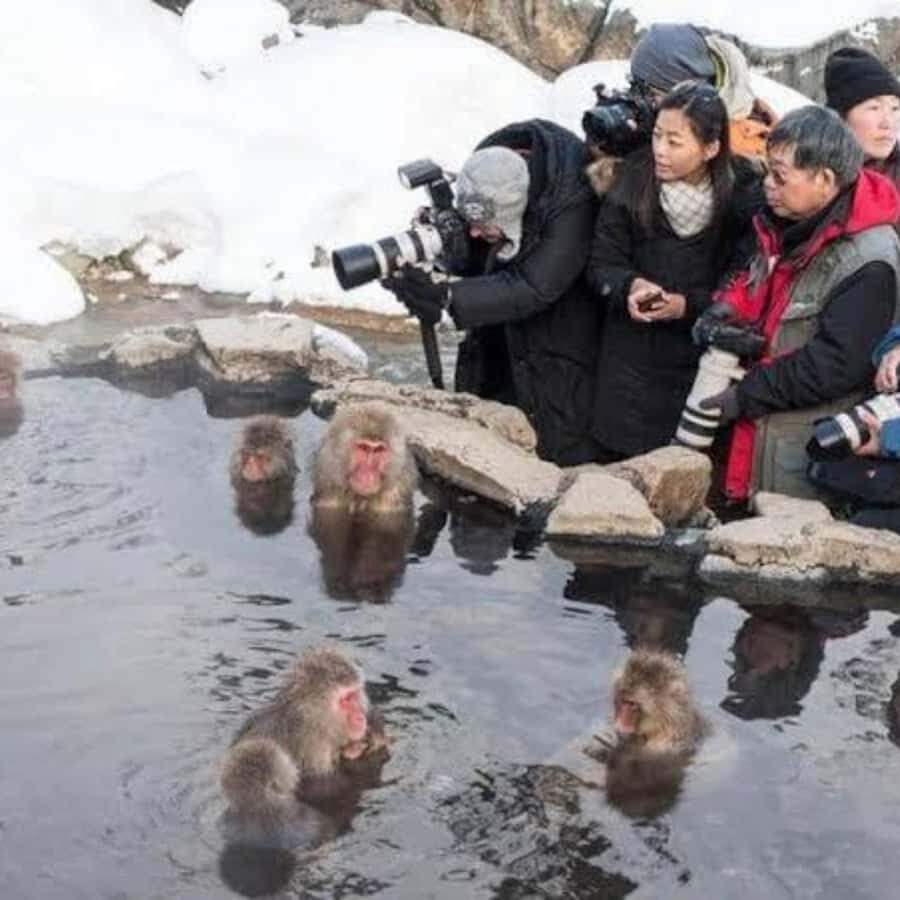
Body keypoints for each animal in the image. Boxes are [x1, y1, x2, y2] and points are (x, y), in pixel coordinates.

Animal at [220, 645, 388, 842]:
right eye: (345, 700)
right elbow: (328, 788)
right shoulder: (314, 748)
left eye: (353, 695)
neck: (312, 721)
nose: (360, 716)